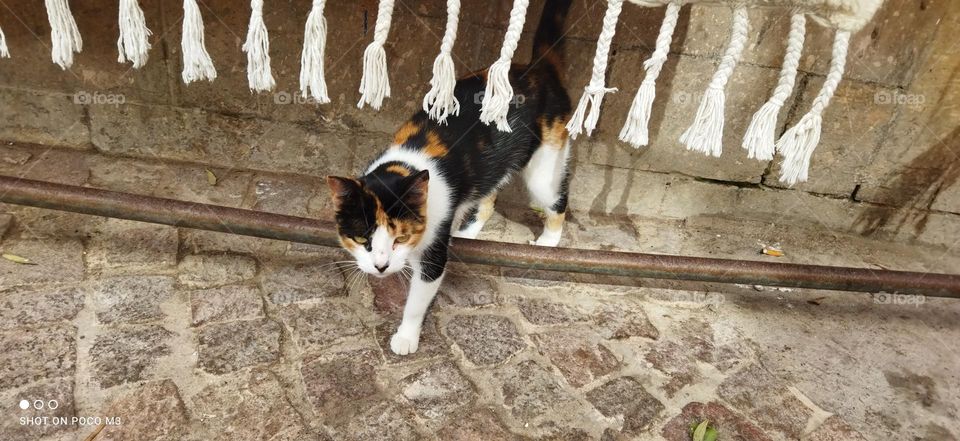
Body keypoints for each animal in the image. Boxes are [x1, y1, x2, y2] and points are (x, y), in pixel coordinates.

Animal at [326, 0, 572, 354]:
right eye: (362, 240)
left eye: (400, 238)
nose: (381, 266)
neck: (405, 165)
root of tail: (539, 70)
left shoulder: (432, 251)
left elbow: (419, 297)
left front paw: (406, 337)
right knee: (487, 198)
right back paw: (468, 232)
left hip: (546, 162)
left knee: (556, 200)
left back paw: (548, 243)